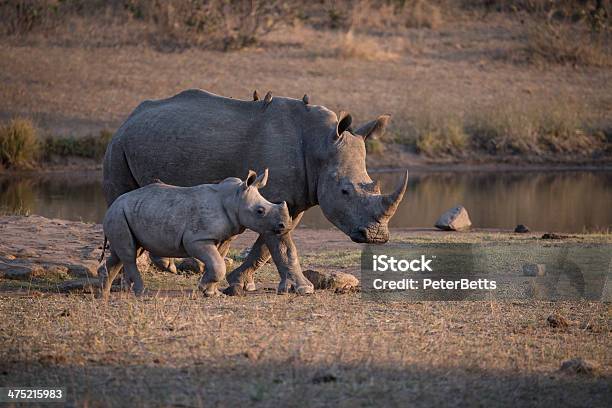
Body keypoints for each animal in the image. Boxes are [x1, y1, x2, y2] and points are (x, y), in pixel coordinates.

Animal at [99, 169, 290, 296]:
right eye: (260, 211)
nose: (284, 226)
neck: (235, 199)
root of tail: (112, 205)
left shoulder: (223, 237)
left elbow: (217, 261)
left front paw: (211, 292)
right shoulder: (197, 239)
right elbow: (217, 264)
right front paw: (204, 289)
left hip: (127, 213)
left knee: (123, 253)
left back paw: (104, 292)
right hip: (118, 213)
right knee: (130, 254)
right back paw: (141, 292)